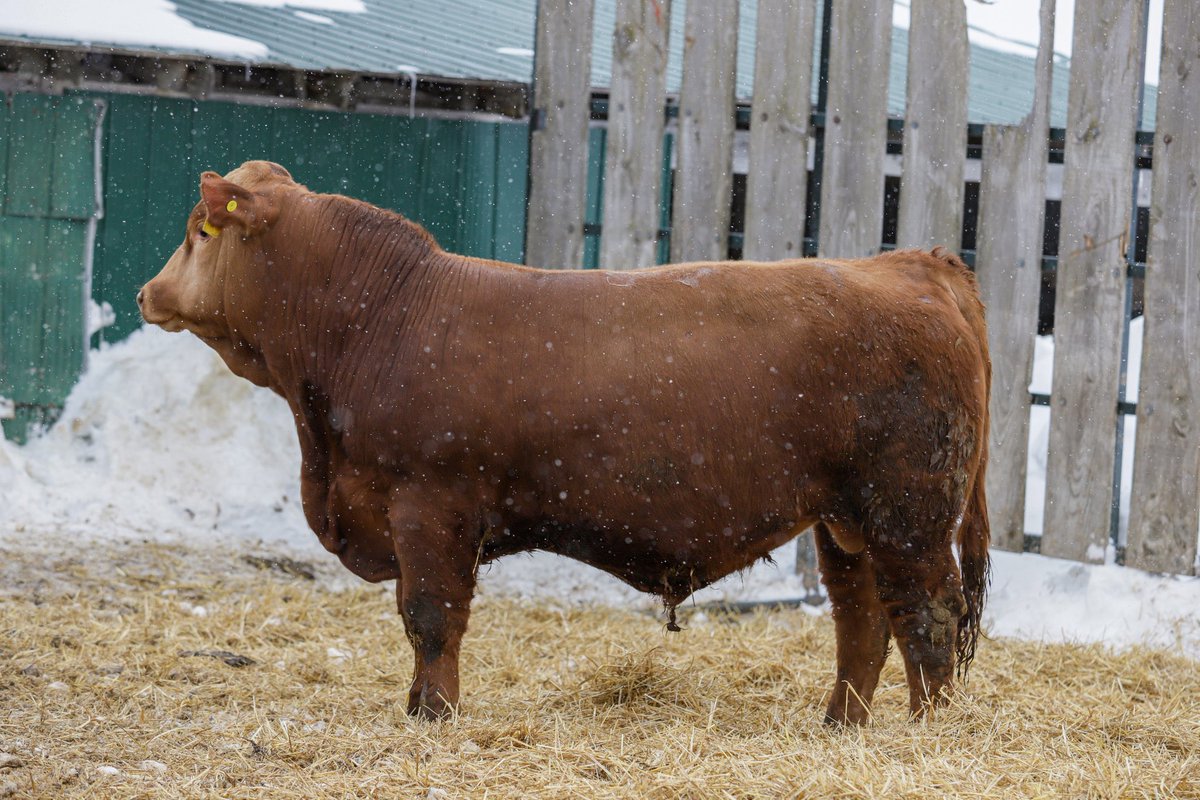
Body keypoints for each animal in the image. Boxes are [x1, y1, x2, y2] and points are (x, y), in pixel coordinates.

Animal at [138, 161, 991, 725]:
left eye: (196, 231)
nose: (148, 292)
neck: (382, 315)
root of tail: (909, 264)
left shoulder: (430, 504)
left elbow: (430, 615)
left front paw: (433, 714)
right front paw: (418, 705)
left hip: (908, 510)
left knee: (929, 614)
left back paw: (928, 732)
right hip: (845, 520)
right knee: (863, 620)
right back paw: (842, 724)